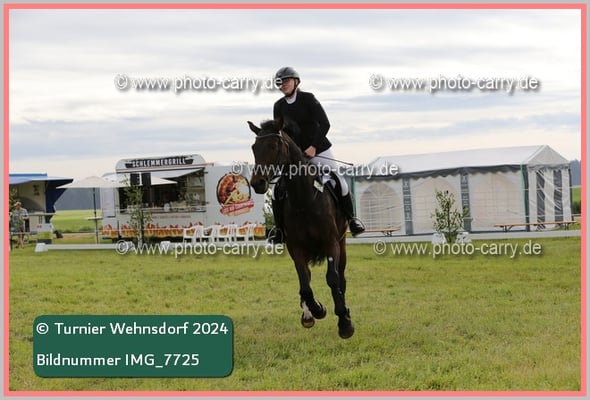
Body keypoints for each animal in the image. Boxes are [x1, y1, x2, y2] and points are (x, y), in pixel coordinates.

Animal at [248, 119, 355, 339]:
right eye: (254, 147)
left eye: (273, 146)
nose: (257, 183)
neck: (304, 199)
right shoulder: (296, 248)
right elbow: (304, 284)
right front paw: (317, 309)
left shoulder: (331, 243)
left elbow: (333, 279)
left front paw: (344, 322)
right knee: (307, 280)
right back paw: (308, 314)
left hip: (342, 243)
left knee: (341, 277)